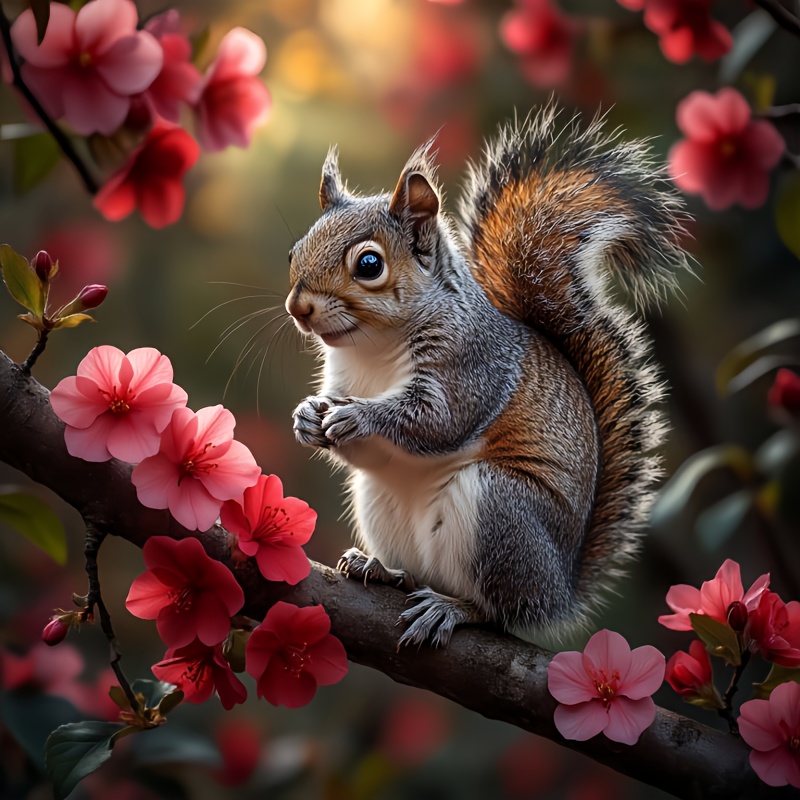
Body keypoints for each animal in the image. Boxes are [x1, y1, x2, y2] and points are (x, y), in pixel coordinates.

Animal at [285, 104, 689, 647]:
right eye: (293, 252)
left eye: (369, 264)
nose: (298, 308)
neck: (375, 347)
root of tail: (560, 590)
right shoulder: (342, 379)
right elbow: (360, 440)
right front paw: (308, 417)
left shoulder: (472, 365)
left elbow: (437, 420)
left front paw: (360, 418)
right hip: (382, 504)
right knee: (417, 573)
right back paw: (382, 569)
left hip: (499, 511)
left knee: (498, 610)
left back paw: (453, 608)